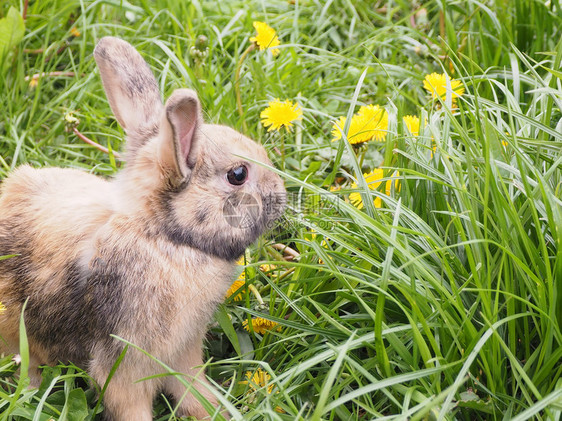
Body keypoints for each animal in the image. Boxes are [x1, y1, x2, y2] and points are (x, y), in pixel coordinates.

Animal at [0, 37, 284, 420]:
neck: (163, 235)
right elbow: (129, 402)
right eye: (238, 175)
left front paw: (216, 411)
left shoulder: (182, 350)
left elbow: (191, 386)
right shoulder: (125, 360)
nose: (282, 193)